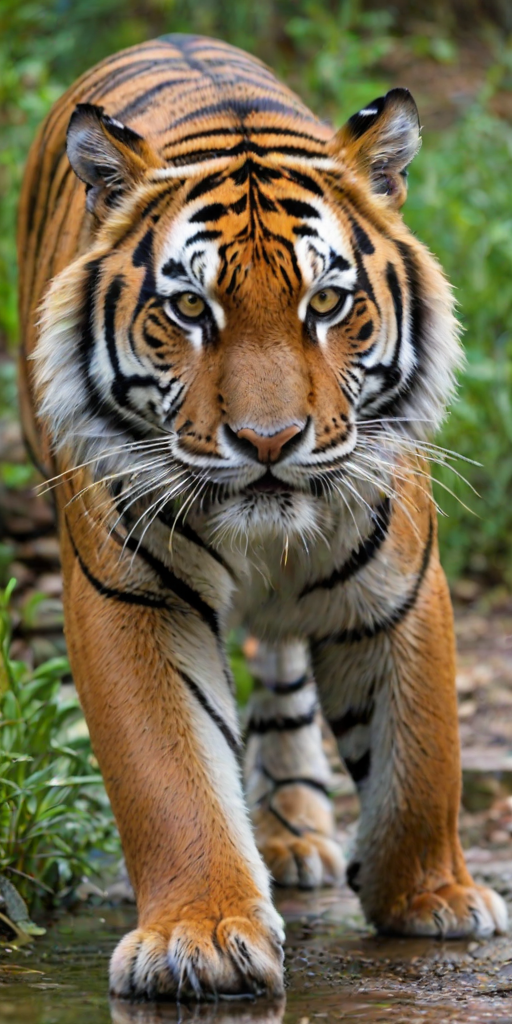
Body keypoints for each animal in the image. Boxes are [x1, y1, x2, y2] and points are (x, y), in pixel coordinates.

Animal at [17, 33, 507, 1001]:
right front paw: (199, 935)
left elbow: (420, 761)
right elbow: (169, 774)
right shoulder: (133, 599)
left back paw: (292, 832)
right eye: (188, 308)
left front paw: (434, 899)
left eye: (326, 303)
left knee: (283, 671)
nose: (270, 441)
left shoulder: (398, 587)